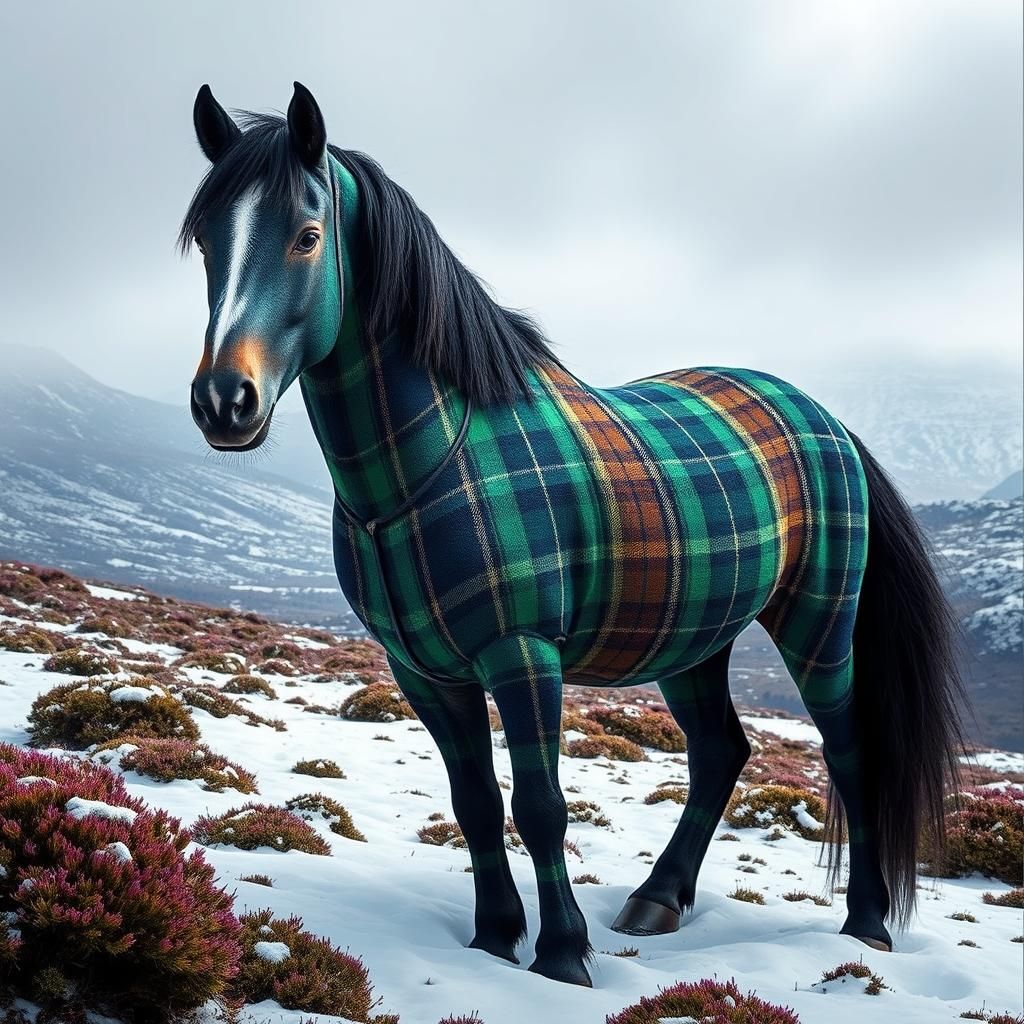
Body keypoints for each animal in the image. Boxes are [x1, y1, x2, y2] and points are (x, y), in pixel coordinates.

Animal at [182, 83, 965, 988]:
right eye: (208, 241)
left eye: (307, 236)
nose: (224, 402)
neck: (430, 460)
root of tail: (828, 421)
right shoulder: (424, 672)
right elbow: (476, 804)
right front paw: (493, 939)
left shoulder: (524, 657)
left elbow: (539, 805)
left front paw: (561, 956)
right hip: (695, 643)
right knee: (719, 752)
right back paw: (658, 901)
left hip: (818, 626)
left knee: (850, 753)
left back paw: (866, 924)